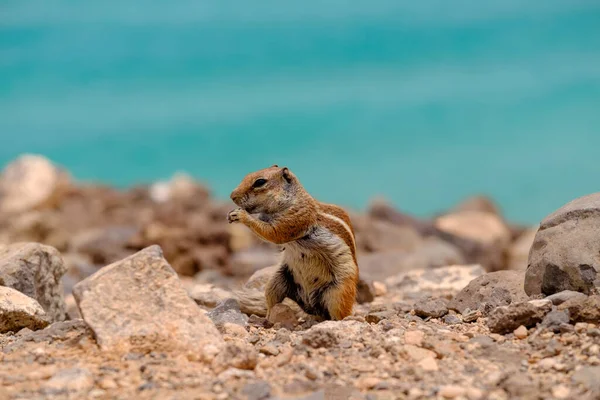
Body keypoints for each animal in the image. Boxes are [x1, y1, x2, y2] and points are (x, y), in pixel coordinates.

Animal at [225, 164, 356, 320]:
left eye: (260, 182)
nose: (232, 196)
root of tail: (311, 307)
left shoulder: (297, 218)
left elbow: (273, 233)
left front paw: (241, 215)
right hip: (278, 281)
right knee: (272, 299)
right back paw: (267, 318)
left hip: (339, 292)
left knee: (339, 312)